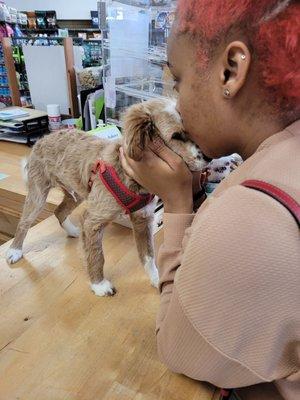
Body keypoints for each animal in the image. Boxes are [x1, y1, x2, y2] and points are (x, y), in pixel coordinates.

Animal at [6, 98, 206, 296]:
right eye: (177, 136)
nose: (208, 157)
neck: (128, 174)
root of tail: (43, 138)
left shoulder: (142, 220)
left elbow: (148, 256)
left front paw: (157, 279)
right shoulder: (93, 220)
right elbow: (97, 255)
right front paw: (99, 284)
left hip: (77, 194)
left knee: (59, 211)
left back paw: (73, 231)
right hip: (38, 196)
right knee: (24, 223)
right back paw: (14, 250)